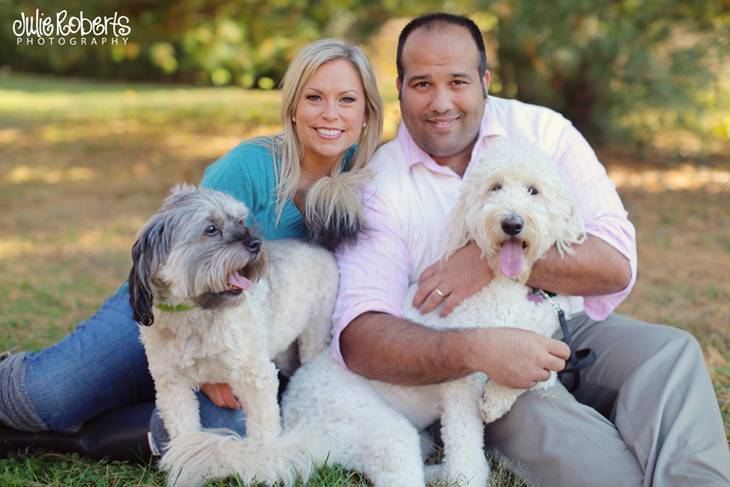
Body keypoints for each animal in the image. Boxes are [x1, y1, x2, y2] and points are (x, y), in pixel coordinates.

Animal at [128, 185, 338, 486]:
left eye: (240, 221)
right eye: (211, 229)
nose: (255, 244)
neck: (195, 314)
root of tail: (316, 245)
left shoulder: (256, 377)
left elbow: (263, 431)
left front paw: (265, 465)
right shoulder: (172, 386)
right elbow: (184, 435)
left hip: (314, 333)